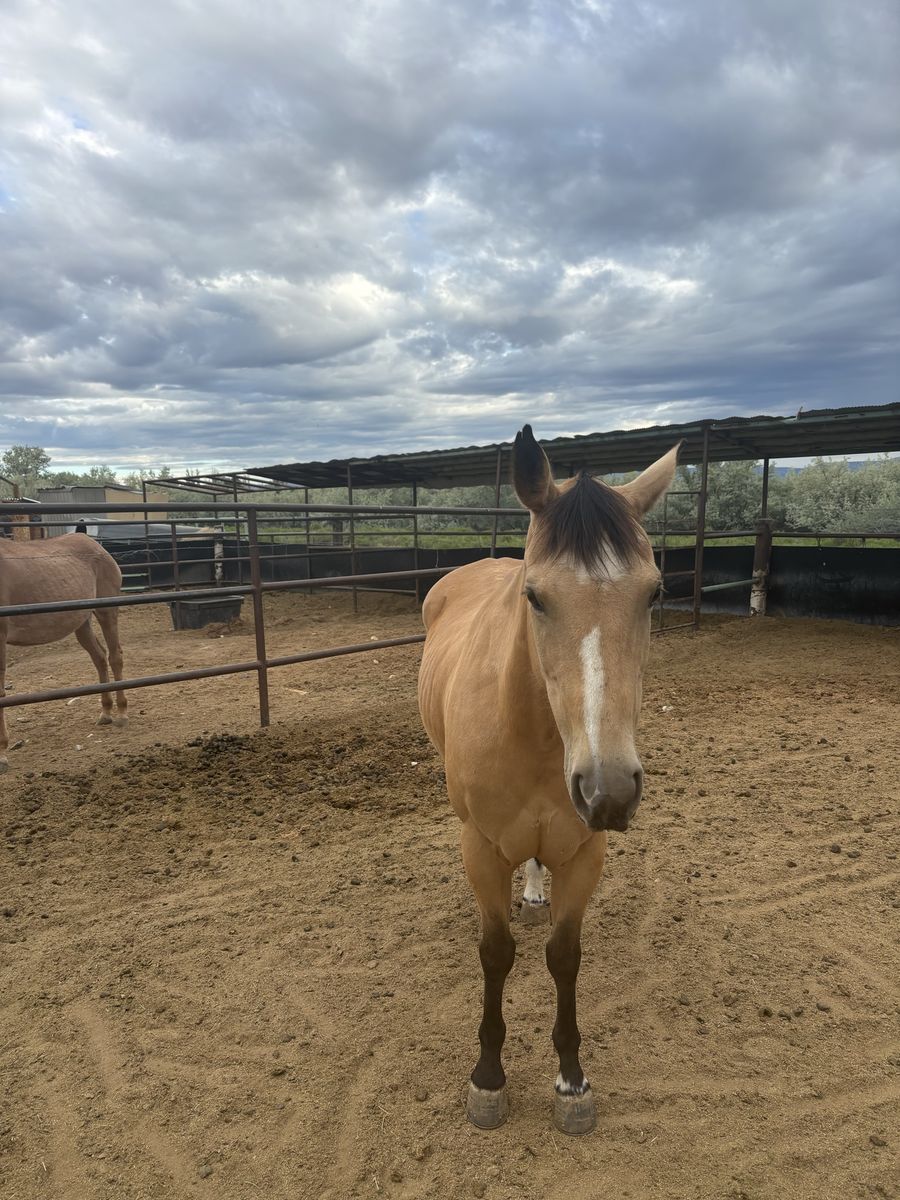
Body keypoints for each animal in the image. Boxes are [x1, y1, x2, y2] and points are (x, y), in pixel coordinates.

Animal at [0, 533, 128, 771]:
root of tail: (98, 547)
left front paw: (2, 754)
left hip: (106, 612)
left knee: (115, 657)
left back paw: (122, 713)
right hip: (82, 622)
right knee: (99, 657)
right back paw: (106, 712)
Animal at [418, 425, 678, 1134]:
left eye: (654, 592)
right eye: (534, 596)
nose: (609, 788)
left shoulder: (586, 849)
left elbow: (564, 956)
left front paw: (571, 1081)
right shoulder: (480, 847)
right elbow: (496, 952)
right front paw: (488, 1079)